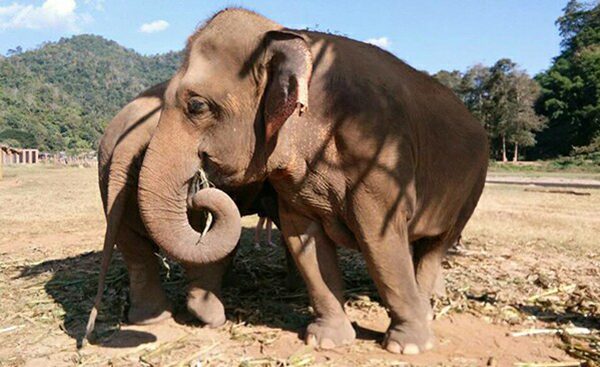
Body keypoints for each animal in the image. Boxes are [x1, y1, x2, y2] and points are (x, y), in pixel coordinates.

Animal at [135, 9, 488, 356]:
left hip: (474, 183)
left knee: (436, 245)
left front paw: (409, 347)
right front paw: (326, 340)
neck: (289, 36)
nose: (199, 192)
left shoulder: (377, 158)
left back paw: (426, 310)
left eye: (196, 105)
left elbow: (381, 241)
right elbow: (304, 239)